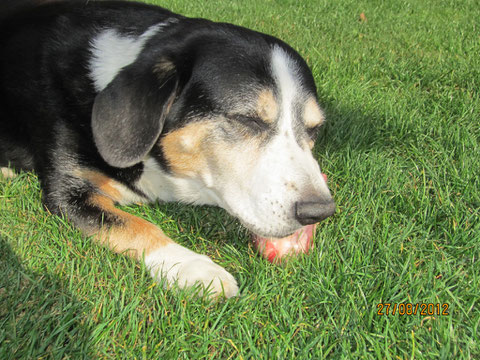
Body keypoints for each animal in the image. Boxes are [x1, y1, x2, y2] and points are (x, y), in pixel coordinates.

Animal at [0, 0, 336, 298]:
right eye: (247, 119)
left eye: (315, 129)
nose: (319, 212)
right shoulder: (68, 193)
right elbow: (137, 225)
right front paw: (193, 267)